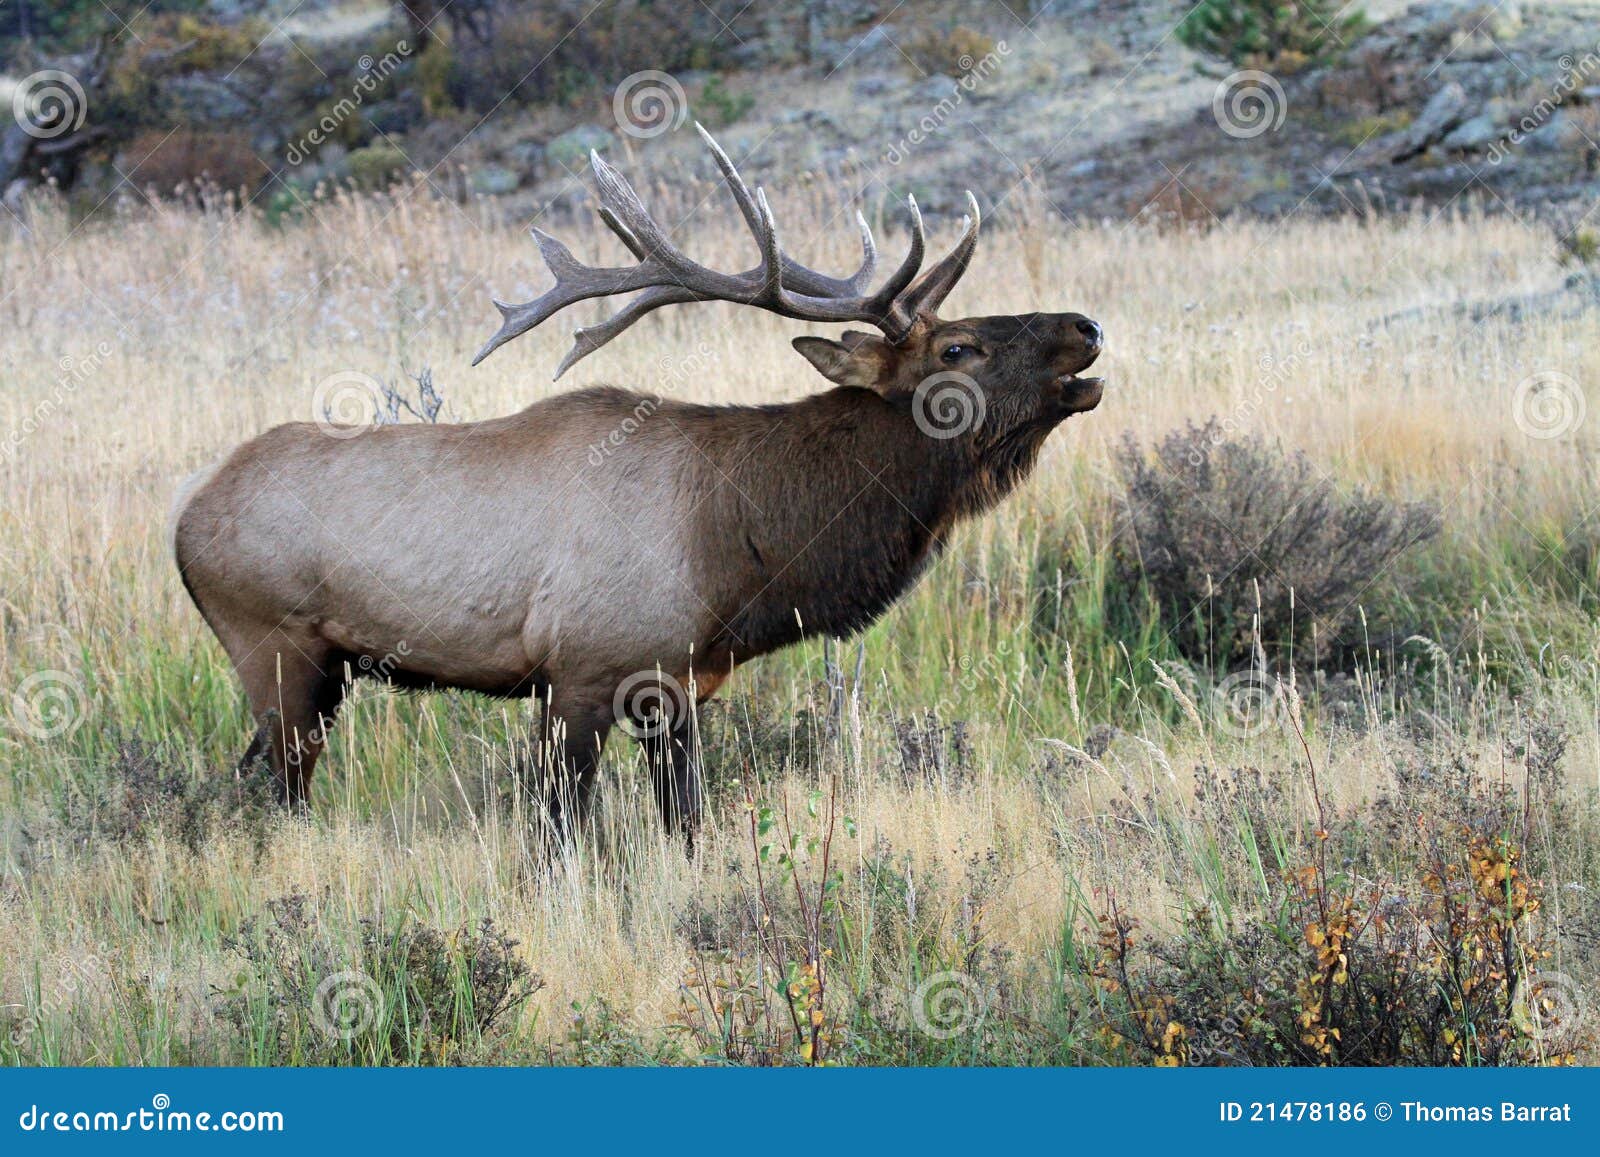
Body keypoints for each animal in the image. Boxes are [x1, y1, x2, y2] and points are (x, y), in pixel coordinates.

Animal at [170, 126, 1104, 842]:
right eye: (958, 348)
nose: (1086, 327)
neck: (739, 550)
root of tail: (184, 516)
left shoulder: (680, 685)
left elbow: (685, 824)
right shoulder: (583, 669)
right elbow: (559, 836)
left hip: (321, 670)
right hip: (274, 649)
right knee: (275, 788)